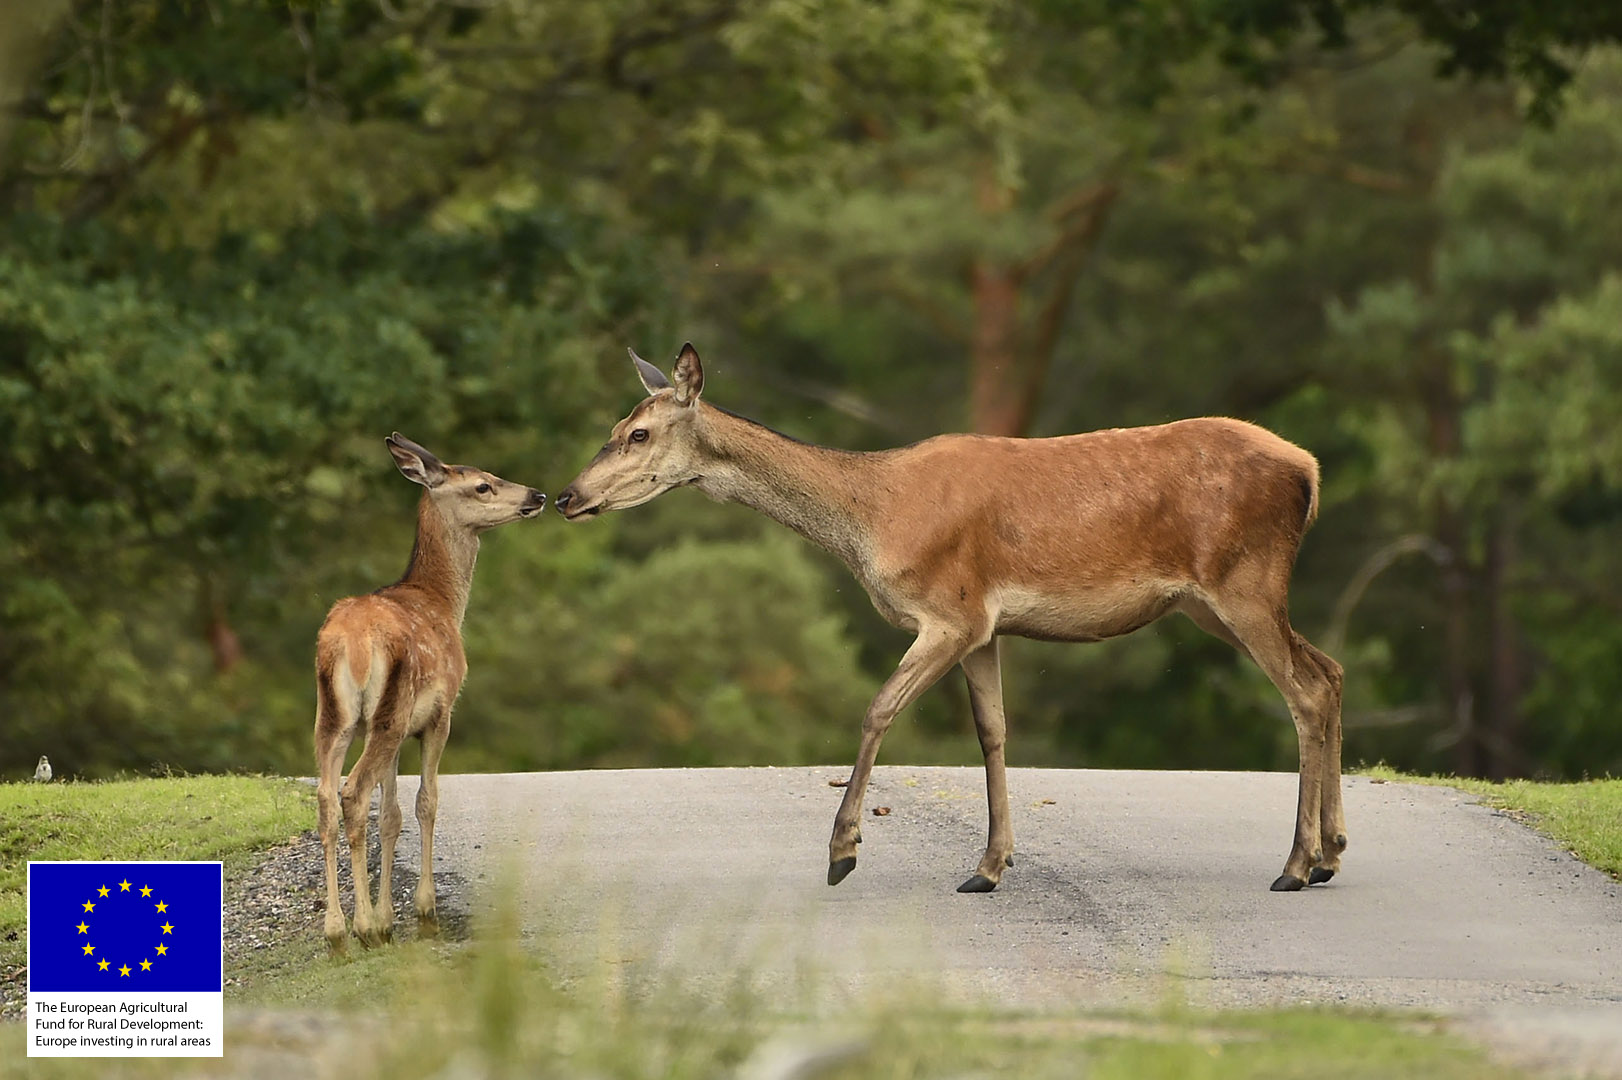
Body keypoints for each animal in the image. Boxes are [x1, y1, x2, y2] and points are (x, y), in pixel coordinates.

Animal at [313, 434, 548, 947]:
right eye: (483, 485)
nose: (537, 495)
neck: (442, 602)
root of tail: (352, 644)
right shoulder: (439, 715)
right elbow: (426, 802)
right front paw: (421, 912)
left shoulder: (398, 731)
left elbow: (391, 816)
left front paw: (387, 918)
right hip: (390, 710)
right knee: (352, 792)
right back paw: (361, 929)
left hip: (336, 715)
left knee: (326, 797)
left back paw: (337, 933)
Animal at [557, 345, 1343, 888]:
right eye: (616, 425)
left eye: (637, 433)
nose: (566, 496)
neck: (872, 516)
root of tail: (1309, 470)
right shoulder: (983, 625)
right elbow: (992, 732)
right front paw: (988, 867)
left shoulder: (948, 613)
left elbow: (877, 709)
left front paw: (842, 851)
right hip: (1214, 603)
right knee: (1330, 670)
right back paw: (1331, 853)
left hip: (1242, 582)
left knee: (1304, 691)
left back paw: (1295, 864)